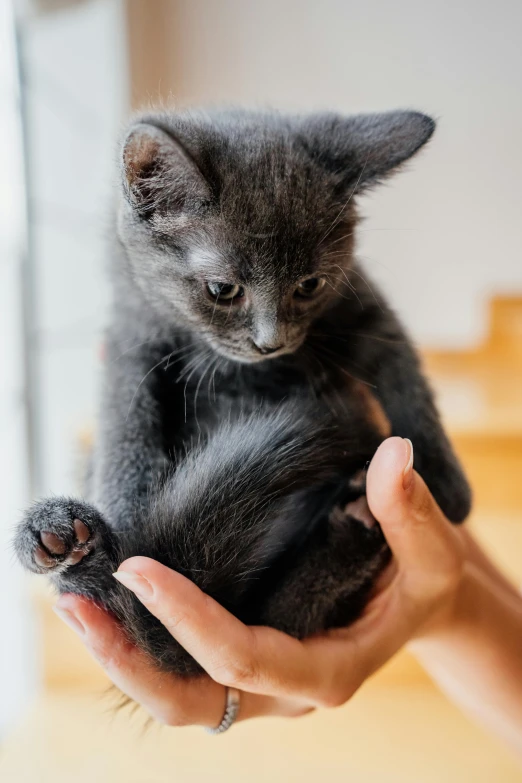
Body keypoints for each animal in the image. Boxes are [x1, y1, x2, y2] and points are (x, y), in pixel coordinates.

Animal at [14, 107, 470, 676]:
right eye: (222, 290)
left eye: (310, 285)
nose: (270, 342)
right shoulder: (131, 334)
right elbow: (125, 416)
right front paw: (124, 511)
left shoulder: (362, 307)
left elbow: (404, 371)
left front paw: (445, 483)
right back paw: (61, 539)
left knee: (281, 615)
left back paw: (356, 527)